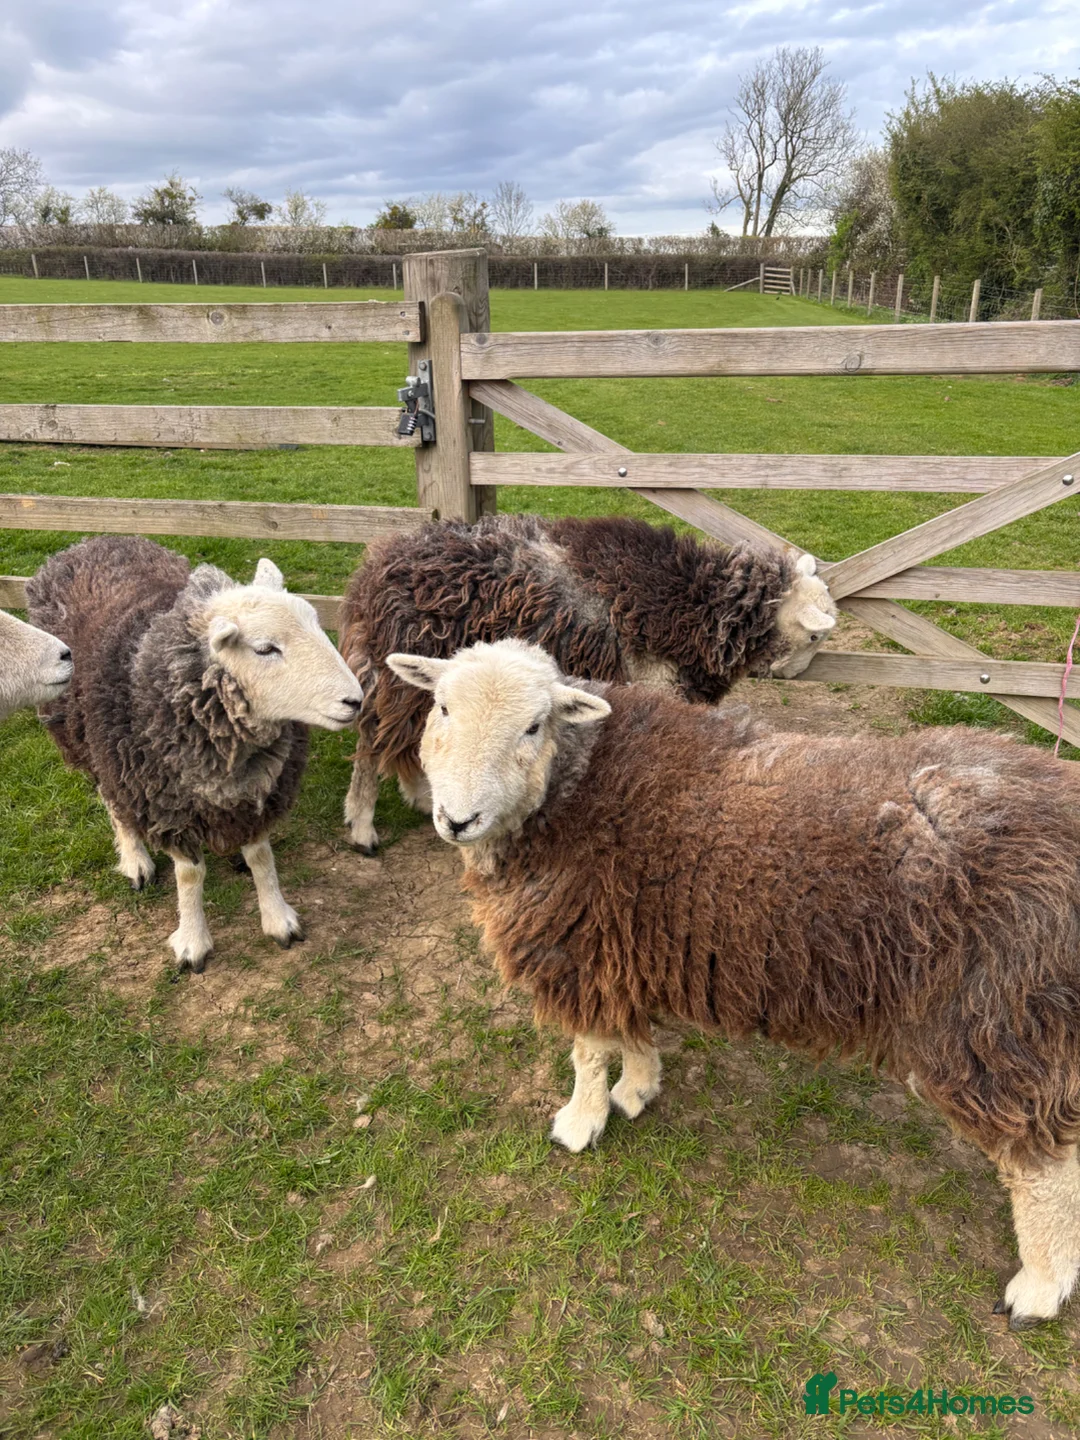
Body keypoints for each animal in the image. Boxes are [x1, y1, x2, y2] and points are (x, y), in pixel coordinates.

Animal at [27, 536, 364, 973]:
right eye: (265, 649)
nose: (355, 701)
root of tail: (91, 541)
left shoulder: (258, 793)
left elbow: (261, 856)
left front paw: (278, 918)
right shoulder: (166, 801)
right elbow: (189, 876)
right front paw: (192, 941)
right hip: (91, 738)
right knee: (111, 797)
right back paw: (135, 859)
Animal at [338, 513, 837, 853]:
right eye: (815, 635)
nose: (796, 674)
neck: (698, 604)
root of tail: (375, 567)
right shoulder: (651, 684)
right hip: (399, 669)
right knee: (373, 741)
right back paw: (363, 826)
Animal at [388, 637, 1080, 1329]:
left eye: (534, 726)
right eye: (441, 707)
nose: (456, 820)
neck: (579, 785)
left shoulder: (577, 952)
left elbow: (588, 1051)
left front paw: (580, 1122)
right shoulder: (626, 942)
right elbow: (631, 1032)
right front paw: (637, 1089)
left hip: (995, 1018)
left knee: (1046, 1167)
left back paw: (1039, 1290)